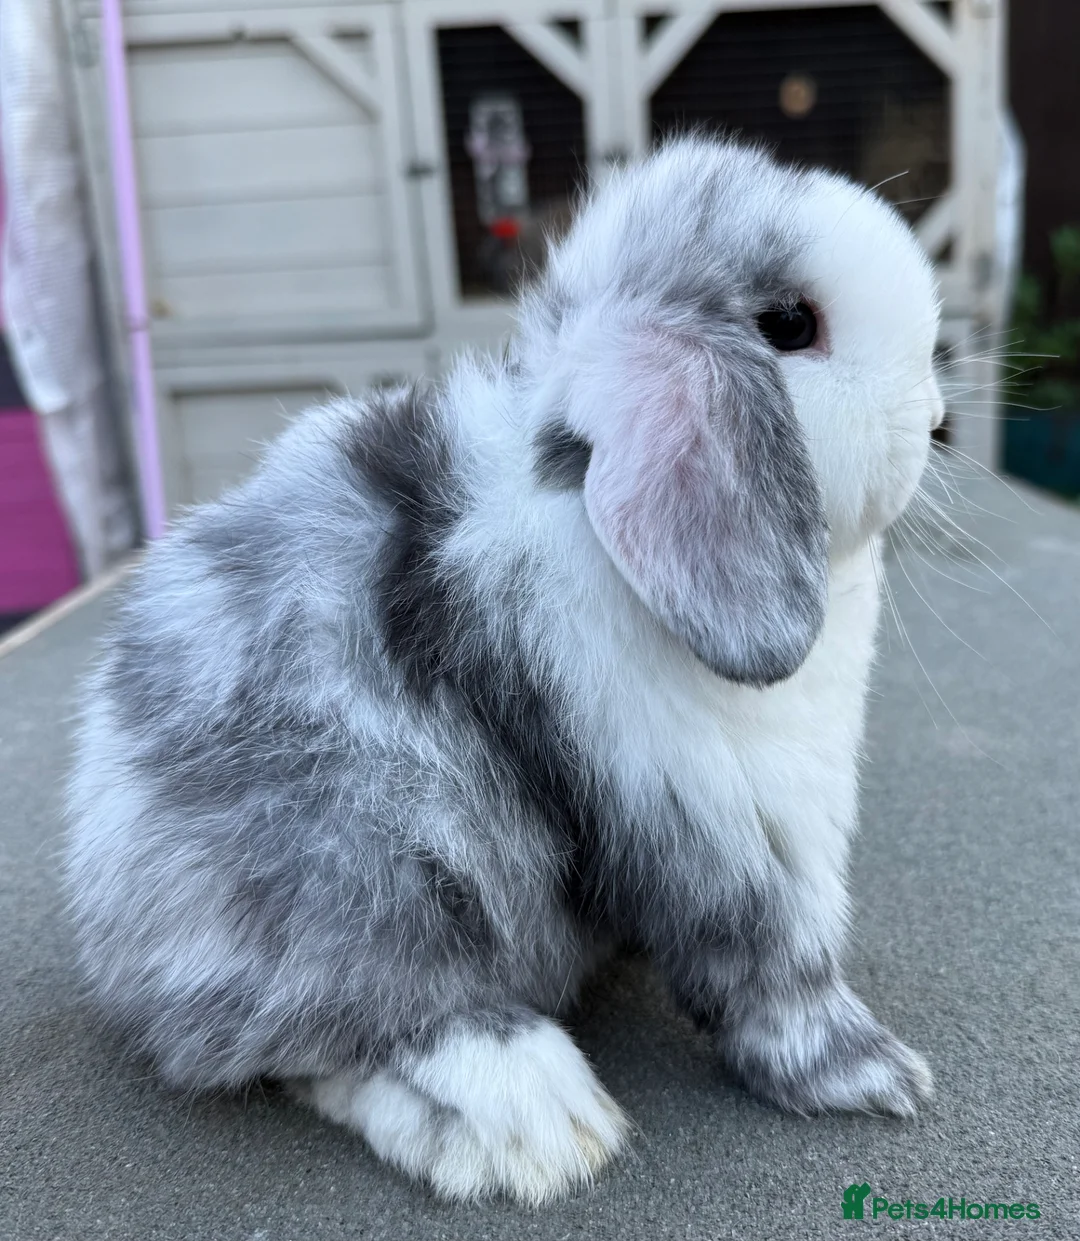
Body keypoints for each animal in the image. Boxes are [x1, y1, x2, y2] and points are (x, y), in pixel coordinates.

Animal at [65, 137, 944, 1206]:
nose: (935, 418)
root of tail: (114, 924)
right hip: (372, 867)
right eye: (790, 326)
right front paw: (877, 1076)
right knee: (349, 1033)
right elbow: (781, 975)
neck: (584, 508)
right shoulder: (739, 826)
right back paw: (532, 1117)